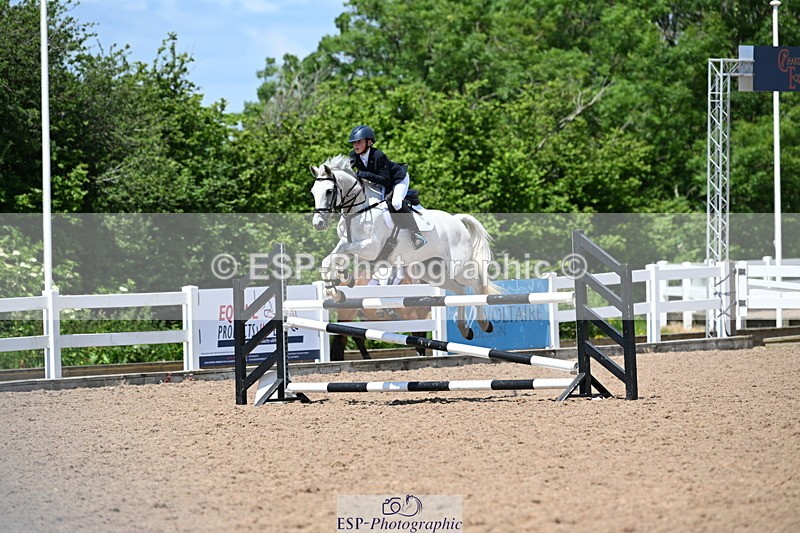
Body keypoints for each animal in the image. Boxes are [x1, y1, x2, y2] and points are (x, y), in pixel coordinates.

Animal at [310, 154, 501, 340]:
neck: (359, 211)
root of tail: (457, 221)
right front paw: (337, 288)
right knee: (460, 291)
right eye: (313, 191)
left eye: (329, 191)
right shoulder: (350, 244)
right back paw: (464, 328)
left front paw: (341, 282)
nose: (318, 223)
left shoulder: (370, 248)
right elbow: (331, 258)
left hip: (458, 268)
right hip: (434, 272)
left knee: (476, 285)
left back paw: (484, 323)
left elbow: (342, 252)